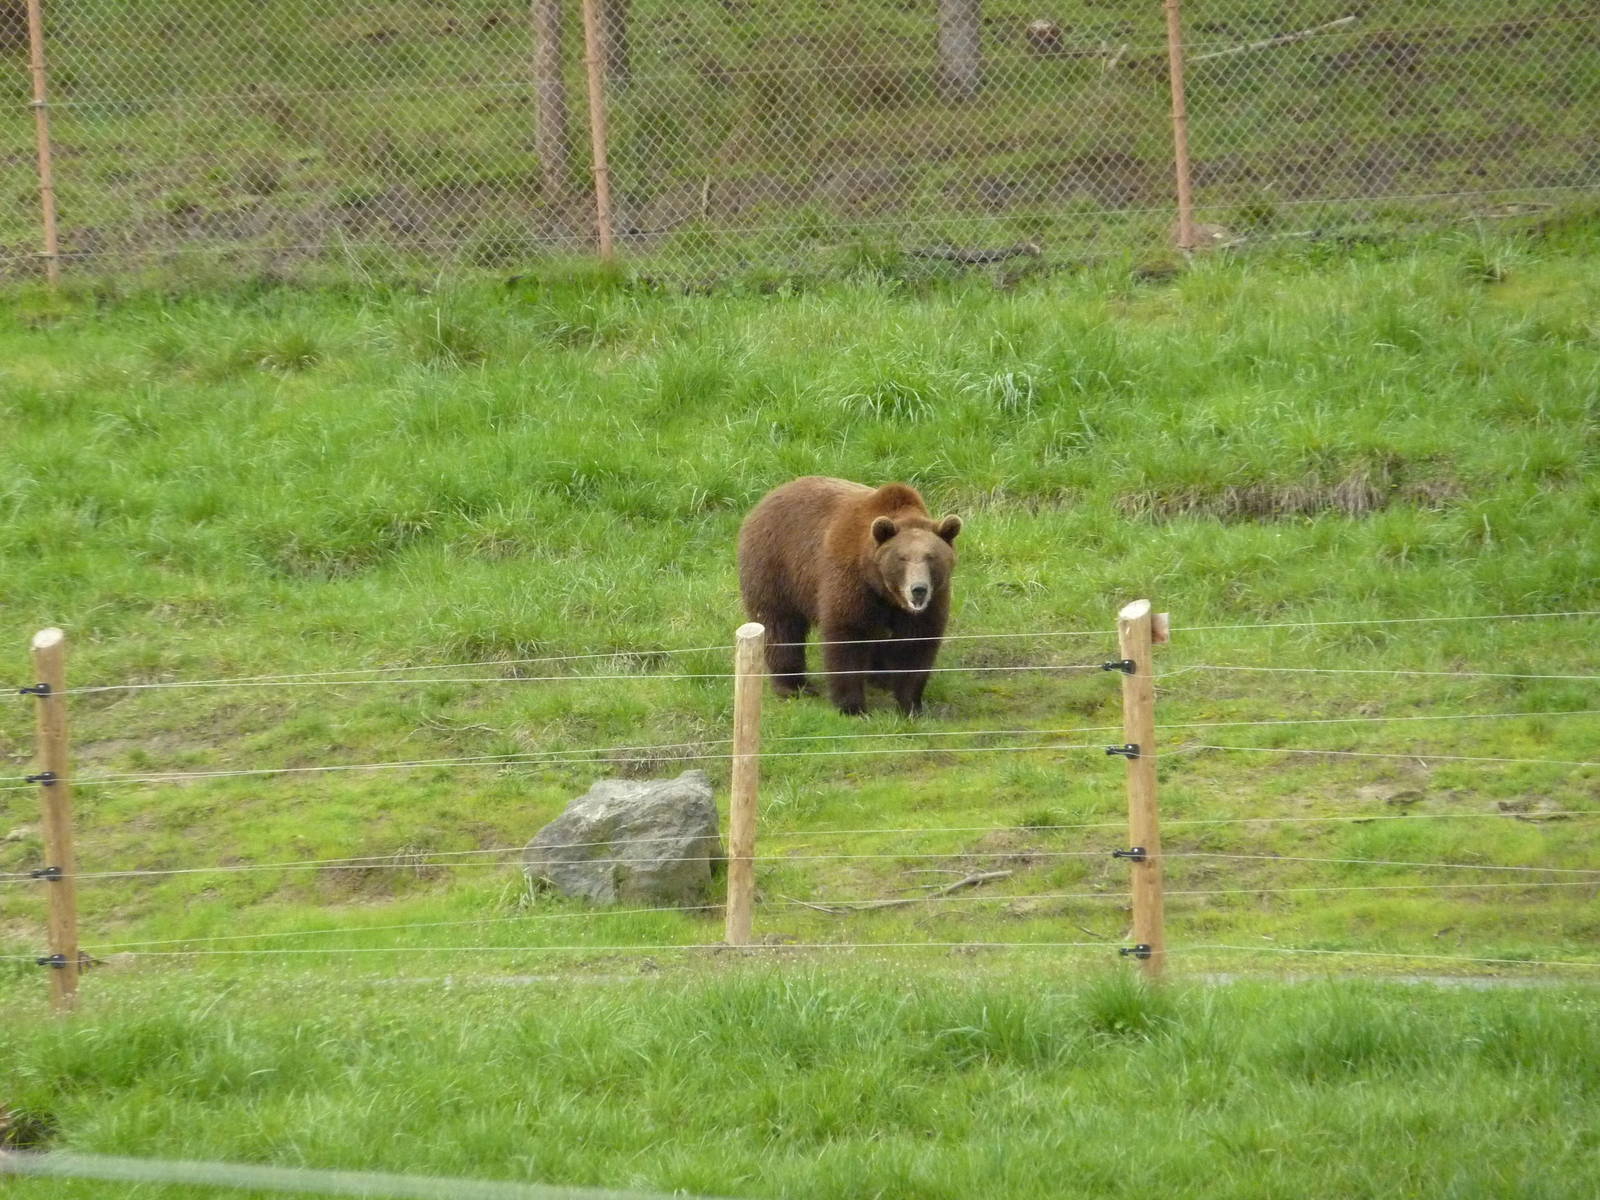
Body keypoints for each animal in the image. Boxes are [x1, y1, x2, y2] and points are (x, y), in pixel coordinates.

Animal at [737, 477, 962, 716]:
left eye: (931, 557)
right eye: (902, 558)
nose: (918, 588)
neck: (884, 590)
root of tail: (767, 497)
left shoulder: (931, 601)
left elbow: (916, 643)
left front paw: (910, 705)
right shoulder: (850, 581)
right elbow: (847, 636)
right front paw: (852, 706)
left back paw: (880, 678)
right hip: (776, 568)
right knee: (780, 625)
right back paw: (793, 685)